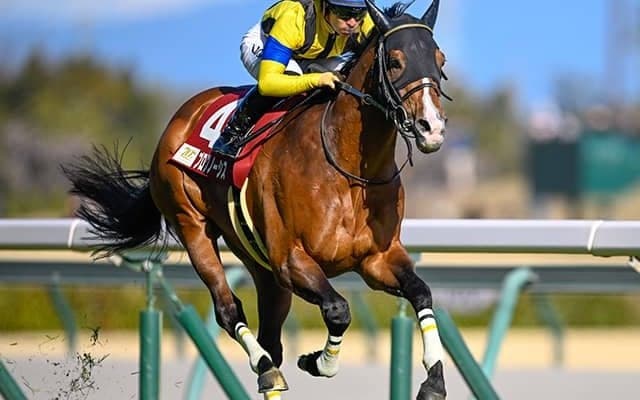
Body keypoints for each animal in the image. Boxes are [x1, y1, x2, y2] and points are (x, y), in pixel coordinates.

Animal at [63, 0, 450, 398]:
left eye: (440, 60)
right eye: (396, 62)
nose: (432, 127)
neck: (347, 169)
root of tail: (181, 116)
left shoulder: (376, 259)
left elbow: (422, 293)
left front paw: (434, 378)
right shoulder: (291, 260)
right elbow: (338, 310)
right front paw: (317, 361)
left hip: (259, 263)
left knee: (272, 339)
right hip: (192, 225)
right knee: (229, 310)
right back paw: (264, 368)